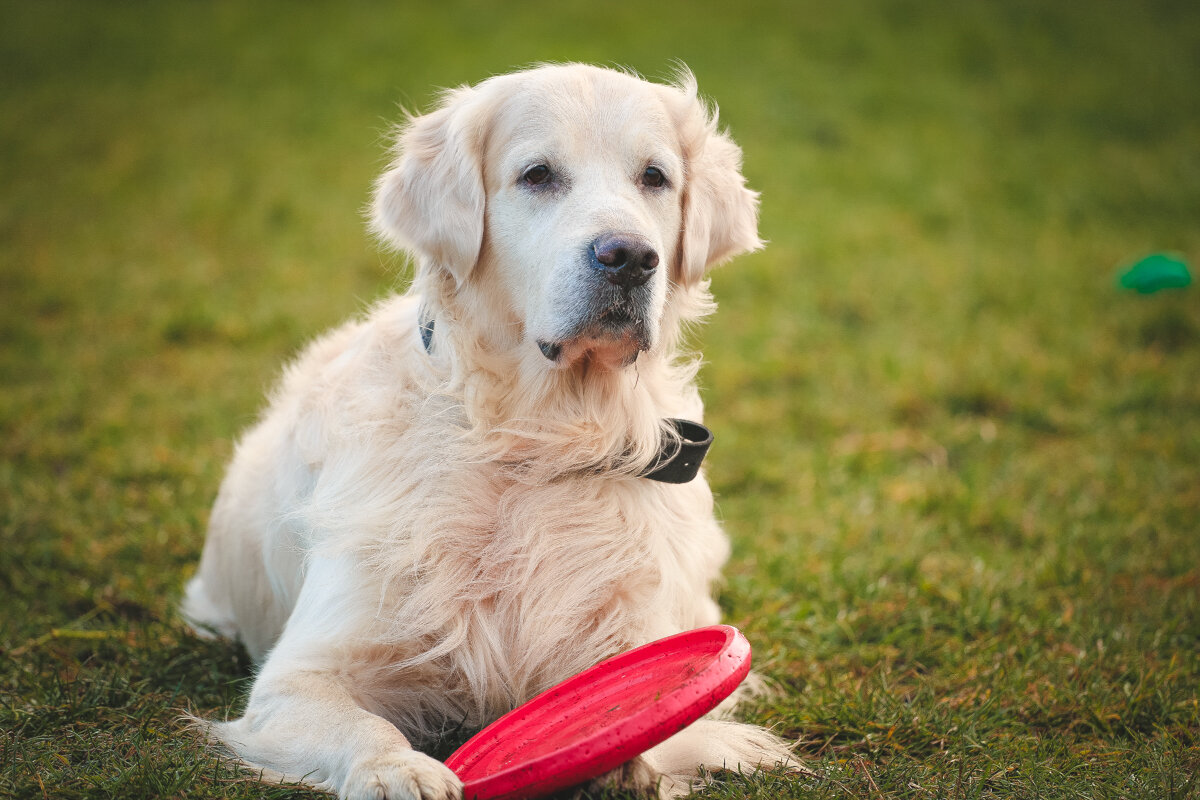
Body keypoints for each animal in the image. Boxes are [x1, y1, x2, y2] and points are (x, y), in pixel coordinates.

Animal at [182, 64, 792, 800]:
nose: (629, 257)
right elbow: (362, 725)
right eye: (537, 175)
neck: (535, 435)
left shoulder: (637, 635)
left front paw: (626, 761)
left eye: (655, 177)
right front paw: (399, 770)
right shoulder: (299, 675)